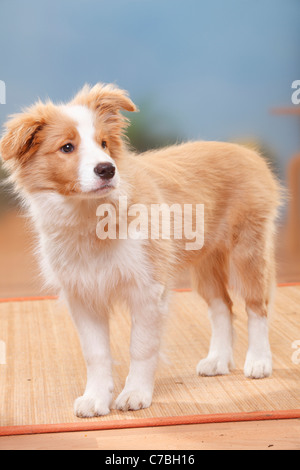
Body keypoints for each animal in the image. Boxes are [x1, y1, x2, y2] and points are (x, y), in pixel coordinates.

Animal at [0, 82, 282, 416]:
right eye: (67, 147)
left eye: (104, 144)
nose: (107, 170)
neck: (90, 217)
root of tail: (248, 152)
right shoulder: (82, 294)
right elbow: (95, 353)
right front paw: (96, 399)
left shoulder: (147, 289)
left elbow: (141, 347)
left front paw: (135, 394)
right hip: (206, 261)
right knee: (221, 306)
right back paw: (218, 361)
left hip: (248, 251)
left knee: (256, 305)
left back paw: (259, 361)